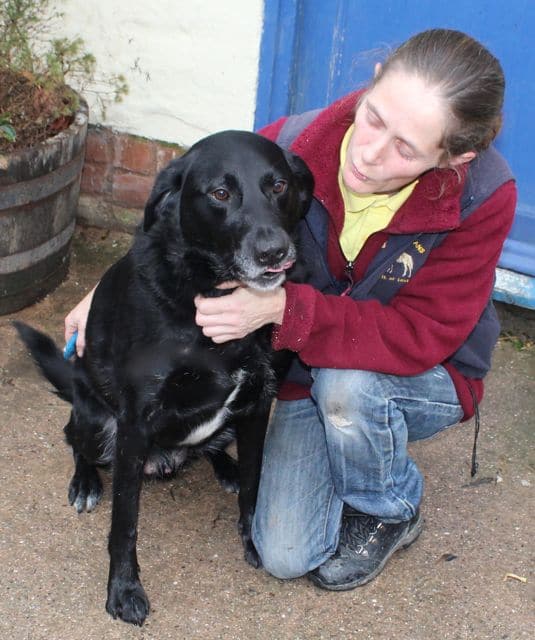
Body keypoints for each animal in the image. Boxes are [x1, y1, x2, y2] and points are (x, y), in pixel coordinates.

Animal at [15, 129, 314, 626]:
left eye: (279, 185)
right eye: (220, 193)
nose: (274, 253)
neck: (209, 292)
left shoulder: (258, 400)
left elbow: (255, 482)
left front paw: (251, 536)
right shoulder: (136, 421)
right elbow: (125, 522)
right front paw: (123, 590)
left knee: (214, 447)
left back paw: (224, 466)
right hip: (96, 423)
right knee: (72, 436)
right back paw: (85, 482)